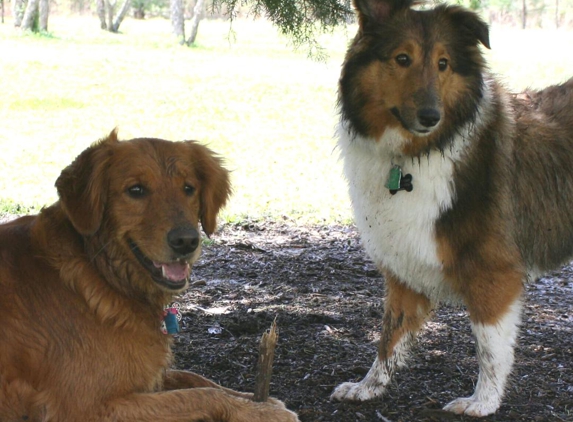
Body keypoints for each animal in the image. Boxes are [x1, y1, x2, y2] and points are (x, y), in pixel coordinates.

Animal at [1, 129, 300, 422]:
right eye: (136, 190)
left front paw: (254, 399)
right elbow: (198, 395)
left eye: (188, 188)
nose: (186, 241)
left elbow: (195, 379)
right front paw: (260, 412)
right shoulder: (86, 408)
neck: (99, 273)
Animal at [328, 0, 572, 418]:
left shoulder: (493, 272)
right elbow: (389, 337)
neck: (416, 153)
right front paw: (367, 388)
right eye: (402, 58)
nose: (431, 116)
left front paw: (483, 402)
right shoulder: (404, 267)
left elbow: (490, 349)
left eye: (443, 64)